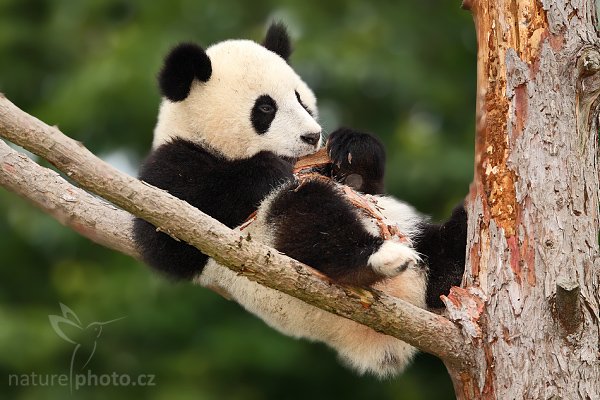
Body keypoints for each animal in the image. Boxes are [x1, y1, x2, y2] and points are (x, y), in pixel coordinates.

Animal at [134, 22, 466, 378]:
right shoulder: (171, 164)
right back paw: (374, 258)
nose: (312, 135)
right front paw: (266, 170)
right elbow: (167, 240)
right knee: (310, 216)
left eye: (300, 99)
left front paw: (354, 148)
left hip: (409, 230)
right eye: (266, 108)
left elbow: (364, 184)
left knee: (439, 249)